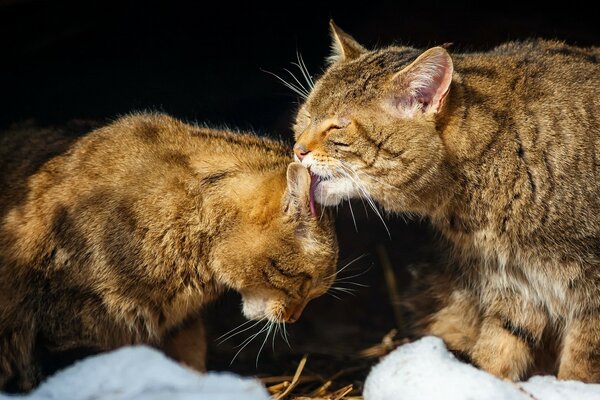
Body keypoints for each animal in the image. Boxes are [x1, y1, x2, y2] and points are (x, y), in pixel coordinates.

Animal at [292, 21, 600, 382]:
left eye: (338, 126)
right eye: (305, 116)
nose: (298, 149)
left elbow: (581, 366)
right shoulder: (517, 286)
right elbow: (497, 350)